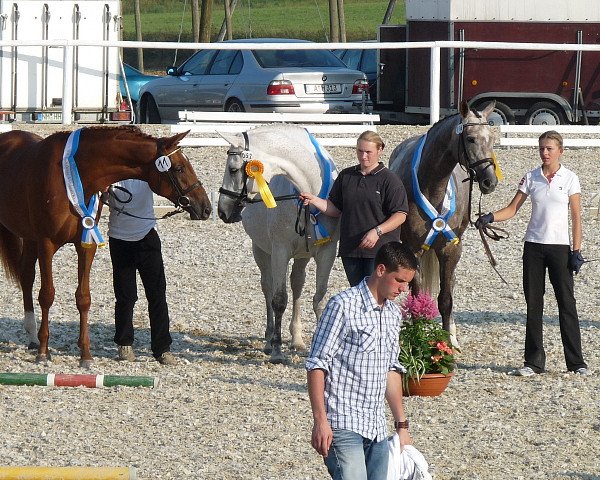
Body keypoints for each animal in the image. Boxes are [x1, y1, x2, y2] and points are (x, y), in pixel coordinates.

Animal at [0, 125, 212, 366]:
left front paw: (85, 354)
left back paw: (33, 338)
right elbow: (47, 295)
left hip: (29, 238)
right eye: (178, 168)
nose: (205, 207)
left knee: (26, 277)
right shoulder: (46, 243)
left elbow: (83, 298)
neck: (74, 175)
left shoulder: (86, 243)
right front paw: (44, 353)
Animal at [218, 124, 340, 364]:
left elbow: (319, 299)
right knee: (267, 287)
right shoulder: (280, 251)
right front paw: (276, 349)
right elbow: (279, 300)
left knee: (297, 284)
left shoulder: (327, 252)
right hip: (261, 250)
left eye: (233, 169)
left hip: (302, 256)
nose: (222, 210)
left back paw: (297, 339)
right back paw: (268, 339)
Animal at [386, 100, 500, 344]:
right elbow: (417, 297)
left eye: (492, 139)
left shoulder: (449, 248)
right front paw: (417, 338)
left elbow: (446, 299)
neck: (431, 186)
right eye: (470, 139)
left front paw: (447, 341)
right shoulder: (413, 250)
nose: (490, 181)